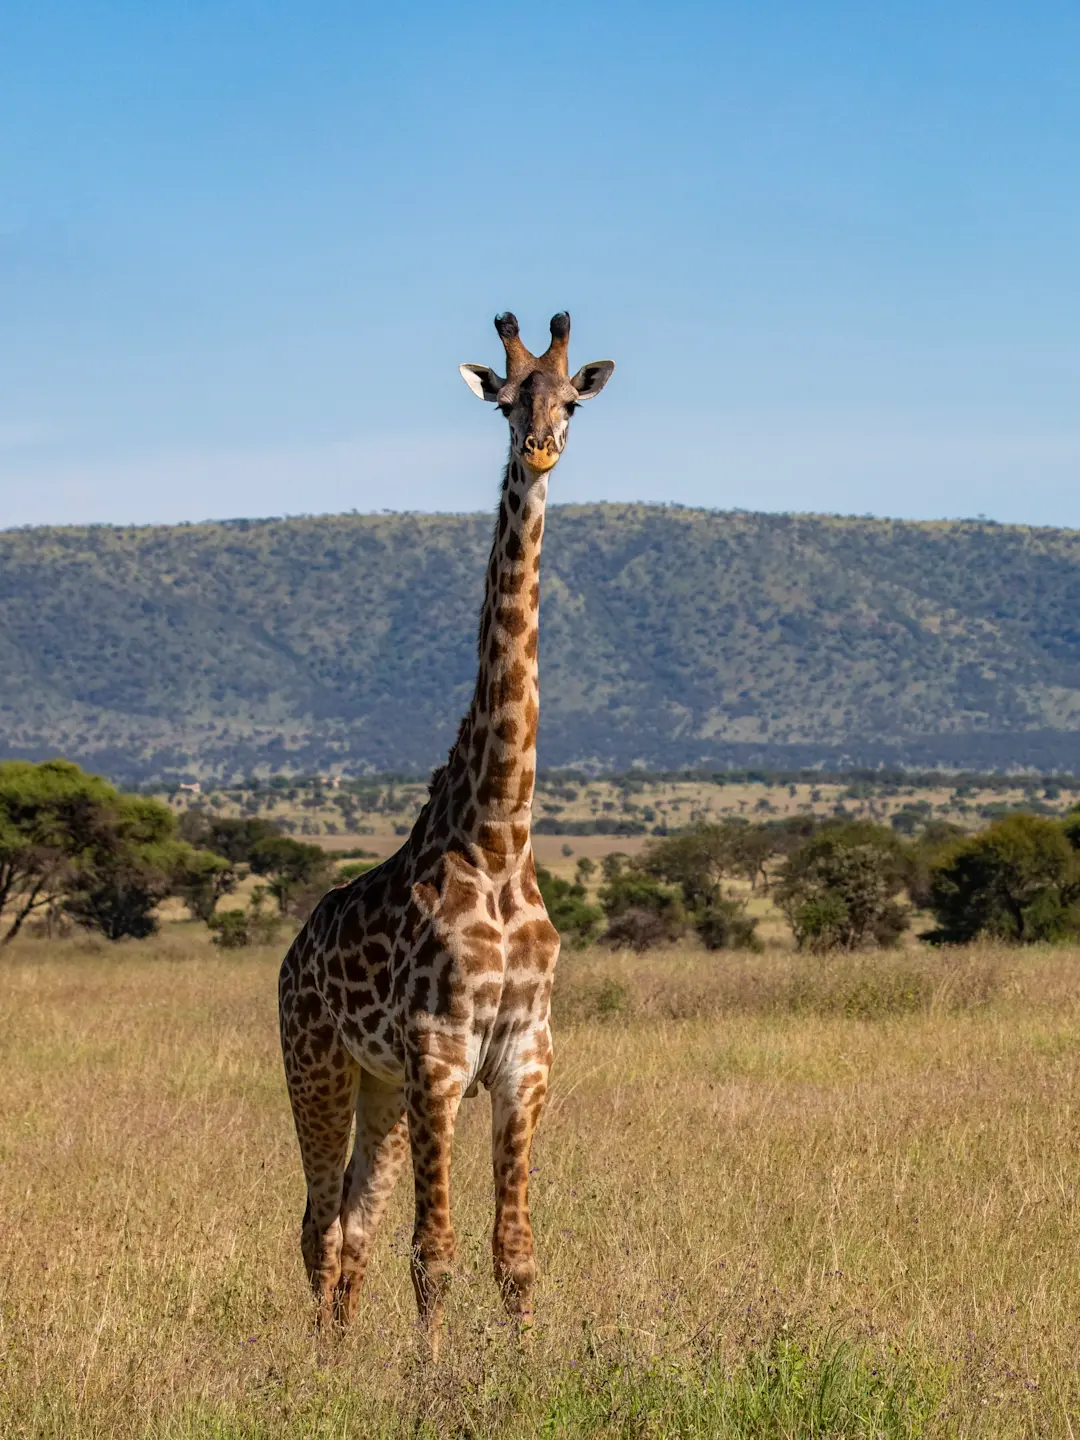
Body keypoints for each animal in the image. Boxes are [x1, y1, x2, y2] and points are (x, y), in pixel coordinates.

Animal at [278, 311, 614, 1356]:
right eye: (506, 402)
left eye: (572, 400)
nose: (539, 448)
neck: (500, 834)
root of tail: (289, 955)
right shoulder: (439, 1055)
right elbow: (435, 1253)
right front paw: (432, 1376)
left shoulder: (524, 1058)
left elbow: (515, 1255)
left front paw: (526, 1367)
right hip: (319, 1062)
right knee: (318, 1221)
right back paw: (320, 1367)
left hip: (378, 1090)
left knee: (351, 1221)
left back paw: (340, 1354)